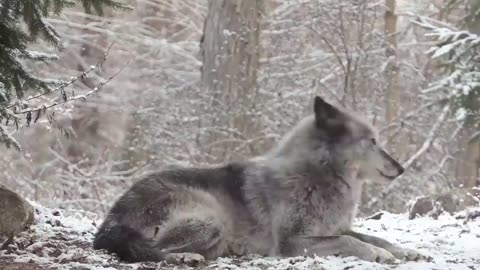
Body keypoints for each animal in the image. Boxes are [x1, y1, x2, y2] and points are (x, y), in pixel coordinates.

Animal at [94, 96, 428, 264]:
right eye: (372, 142)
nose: (401, 168)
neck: (318, 176)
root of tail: (110, 221)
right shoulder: (292, 242)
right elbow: (352, 241)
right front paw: (380, 255)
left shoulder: (333, 228)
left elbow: (371, 236)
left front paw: (402, 250)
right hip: (211, 218)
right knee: (153, 251)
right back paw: (187, 257)